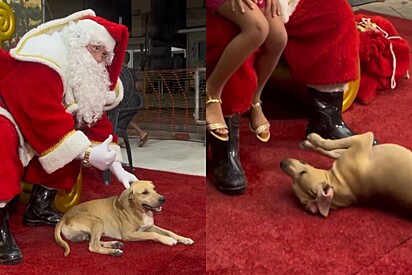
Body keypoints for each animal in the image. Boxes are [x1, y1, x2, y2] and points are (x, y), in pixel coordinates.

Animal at [54, 181, 195, 256]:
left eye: (154, 189)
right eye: (144, 193)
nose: (163, 199)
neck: (139, 211)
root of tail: (65, 216)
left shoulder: (149, 226)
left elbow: (169, 231)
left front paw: (184, 239)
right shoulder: (130, 234)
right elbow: (154, 234)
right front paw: (167, 240)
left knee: (95, 241)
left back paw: (114, 244)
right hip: (97, 221)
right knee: (92, 246)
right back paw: (114, 251)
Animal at [280, 133, 412, 219]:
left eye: (302, 173)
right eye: (293, 183)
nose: (281, 164)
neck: (339, 181)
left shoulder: (360, 141)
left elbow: (329, 148)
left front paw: (310, 141)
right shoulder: (361, 141)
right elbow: (330, 147)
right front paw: (312, 141)